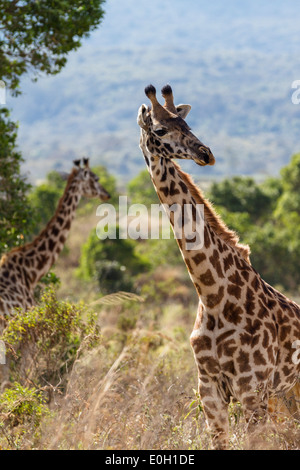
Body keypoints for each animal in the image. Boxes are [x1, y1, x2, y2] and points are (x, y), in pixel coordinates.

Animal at [138, 84, 300, 448]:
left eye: (187, 123)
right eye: (160, 130)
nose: (205, 153)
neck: (212, 295)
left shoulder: (252, 391)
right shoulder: (210, 391)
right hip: (285, 394)